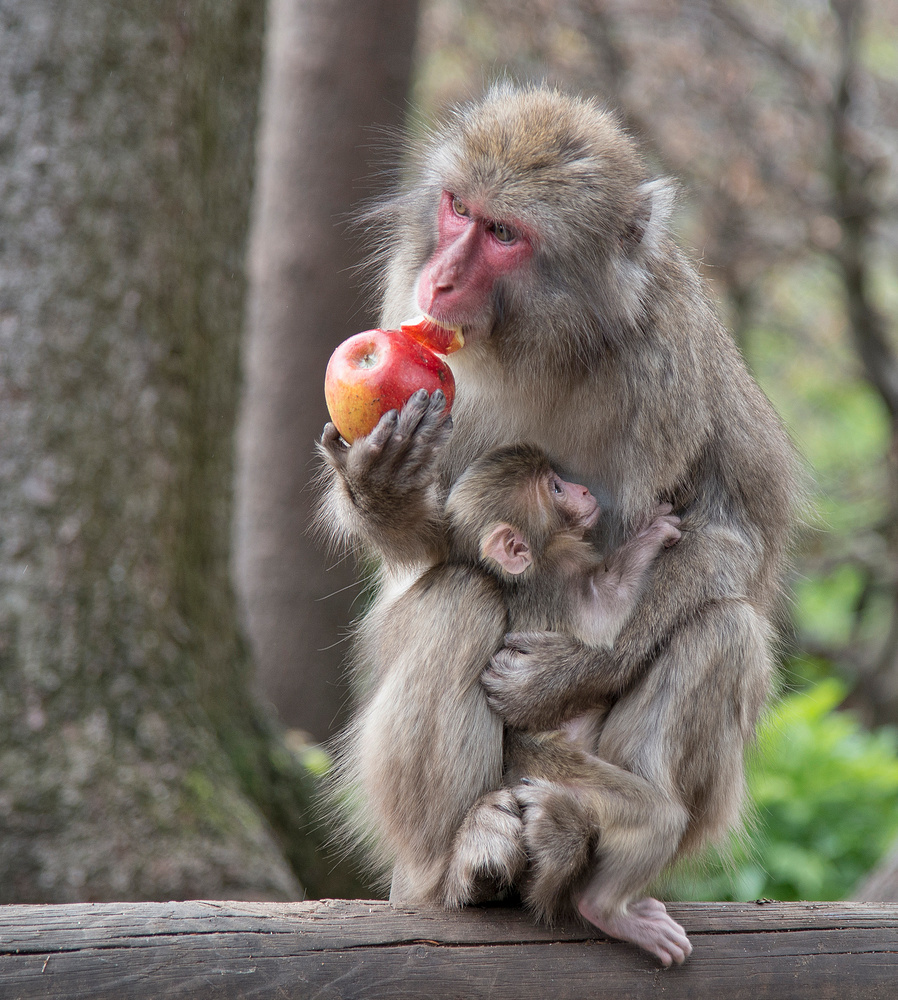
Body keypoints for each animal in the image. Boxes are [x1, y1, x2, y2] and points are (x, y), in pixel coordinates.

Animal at [332, 446, 684, 960]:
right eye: (555, 488)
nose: (582, 489)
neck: (538, 564)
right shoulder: (559, 582)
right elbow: (609, 607)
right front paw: (651, 538)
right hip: (545, 766)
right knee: (659, 817)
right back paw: (607, 909)